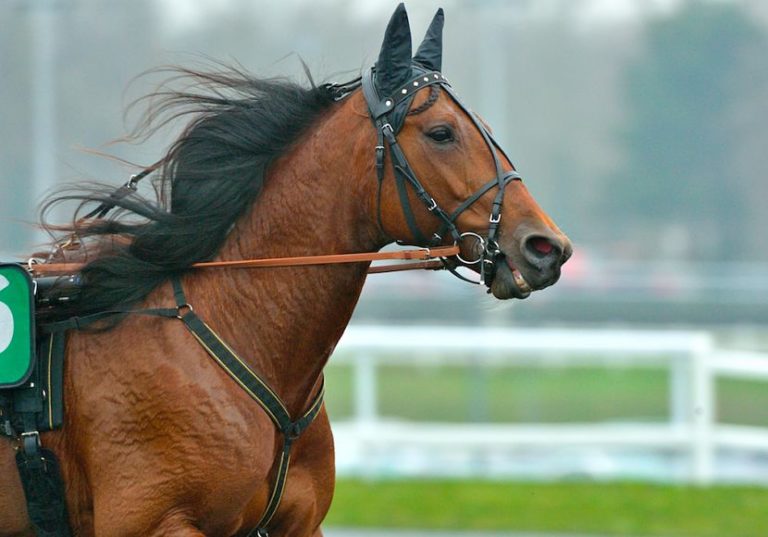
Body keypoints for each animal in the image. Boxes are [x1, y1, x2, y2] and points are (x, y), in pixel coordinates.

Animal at [0, 5, 568, 536]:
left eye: (486, 130)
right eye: (442, 132)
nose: (546, 247)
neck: (234, 330)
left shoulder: (298, 521)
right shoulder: (152, 521)